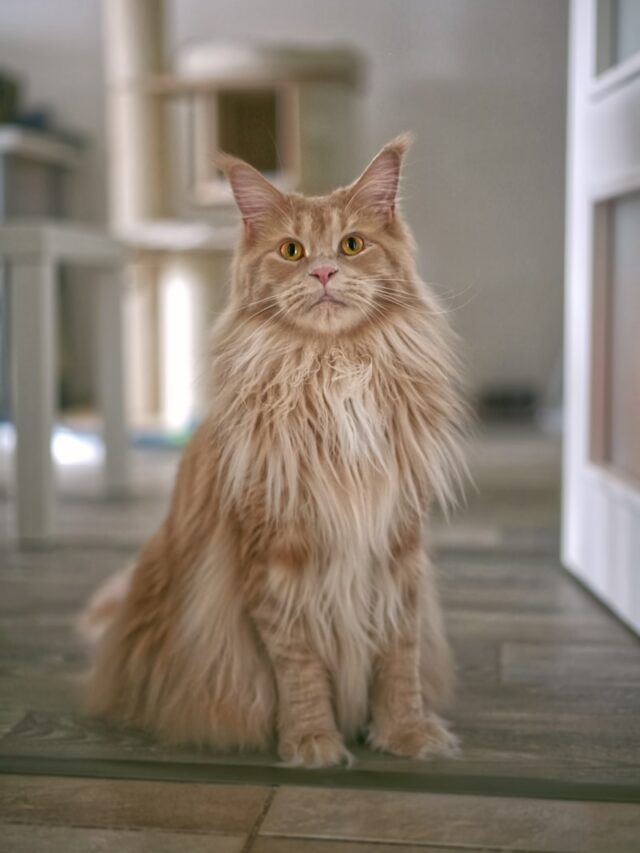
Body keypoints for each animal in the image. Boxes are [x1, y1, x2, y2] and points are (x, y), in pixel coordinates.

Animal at [84, 135, 464, 764]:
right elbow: (299, 665)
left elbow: (398, 656)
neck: (334, 373)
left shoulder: (398, 547)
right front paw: (312, 743)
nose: (324, 270)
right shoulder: (273, 557)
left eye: (352, 244)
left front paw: (406, 733)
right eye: (291, 251)